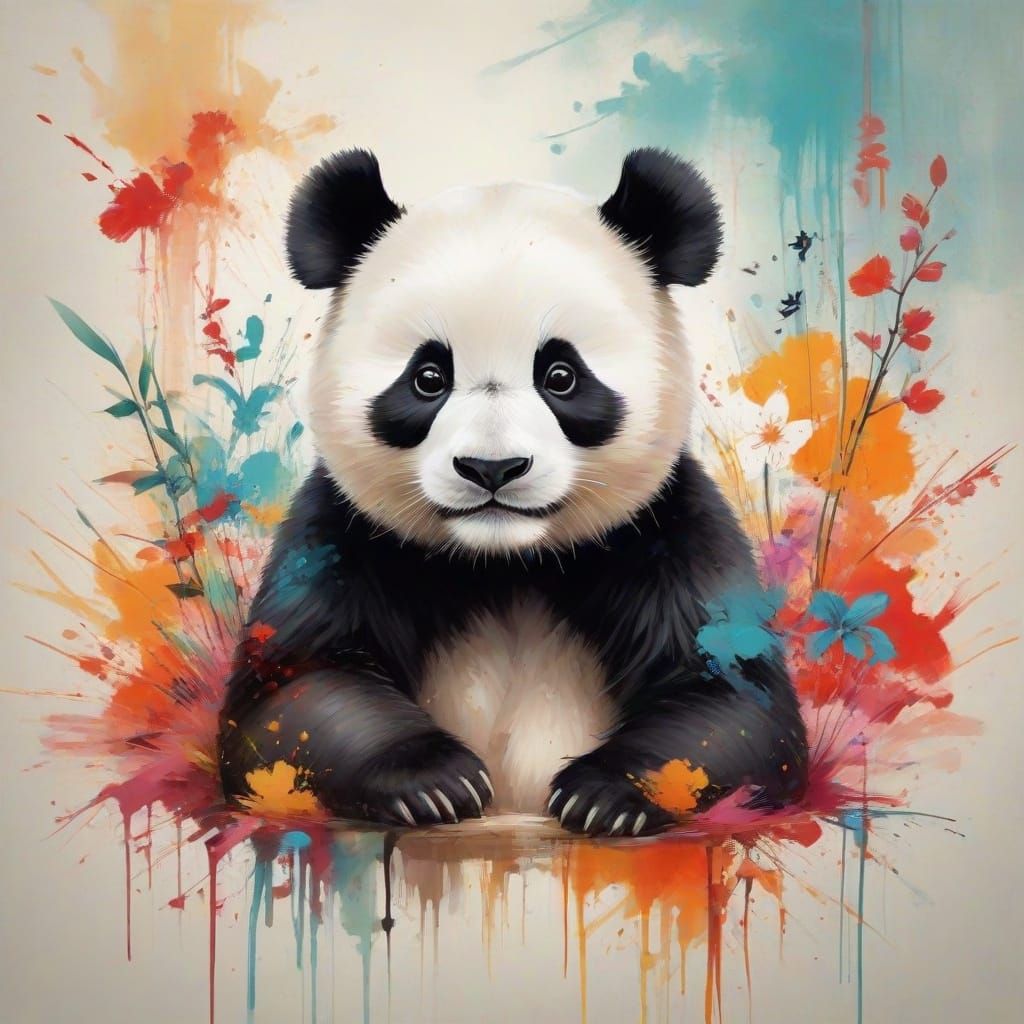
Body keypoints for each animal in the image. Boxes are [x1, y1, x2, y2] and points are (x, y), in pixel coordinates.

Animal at [218, 148, 808, 836]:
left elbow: (731, 690)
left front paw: (602, 795)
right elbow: (289, 692)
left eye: (561, 375)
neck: (506, 561)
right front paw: (436, 782)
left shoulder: (670, 531)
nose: (492, 468)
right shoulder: (341, 536)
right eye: (428, 377)